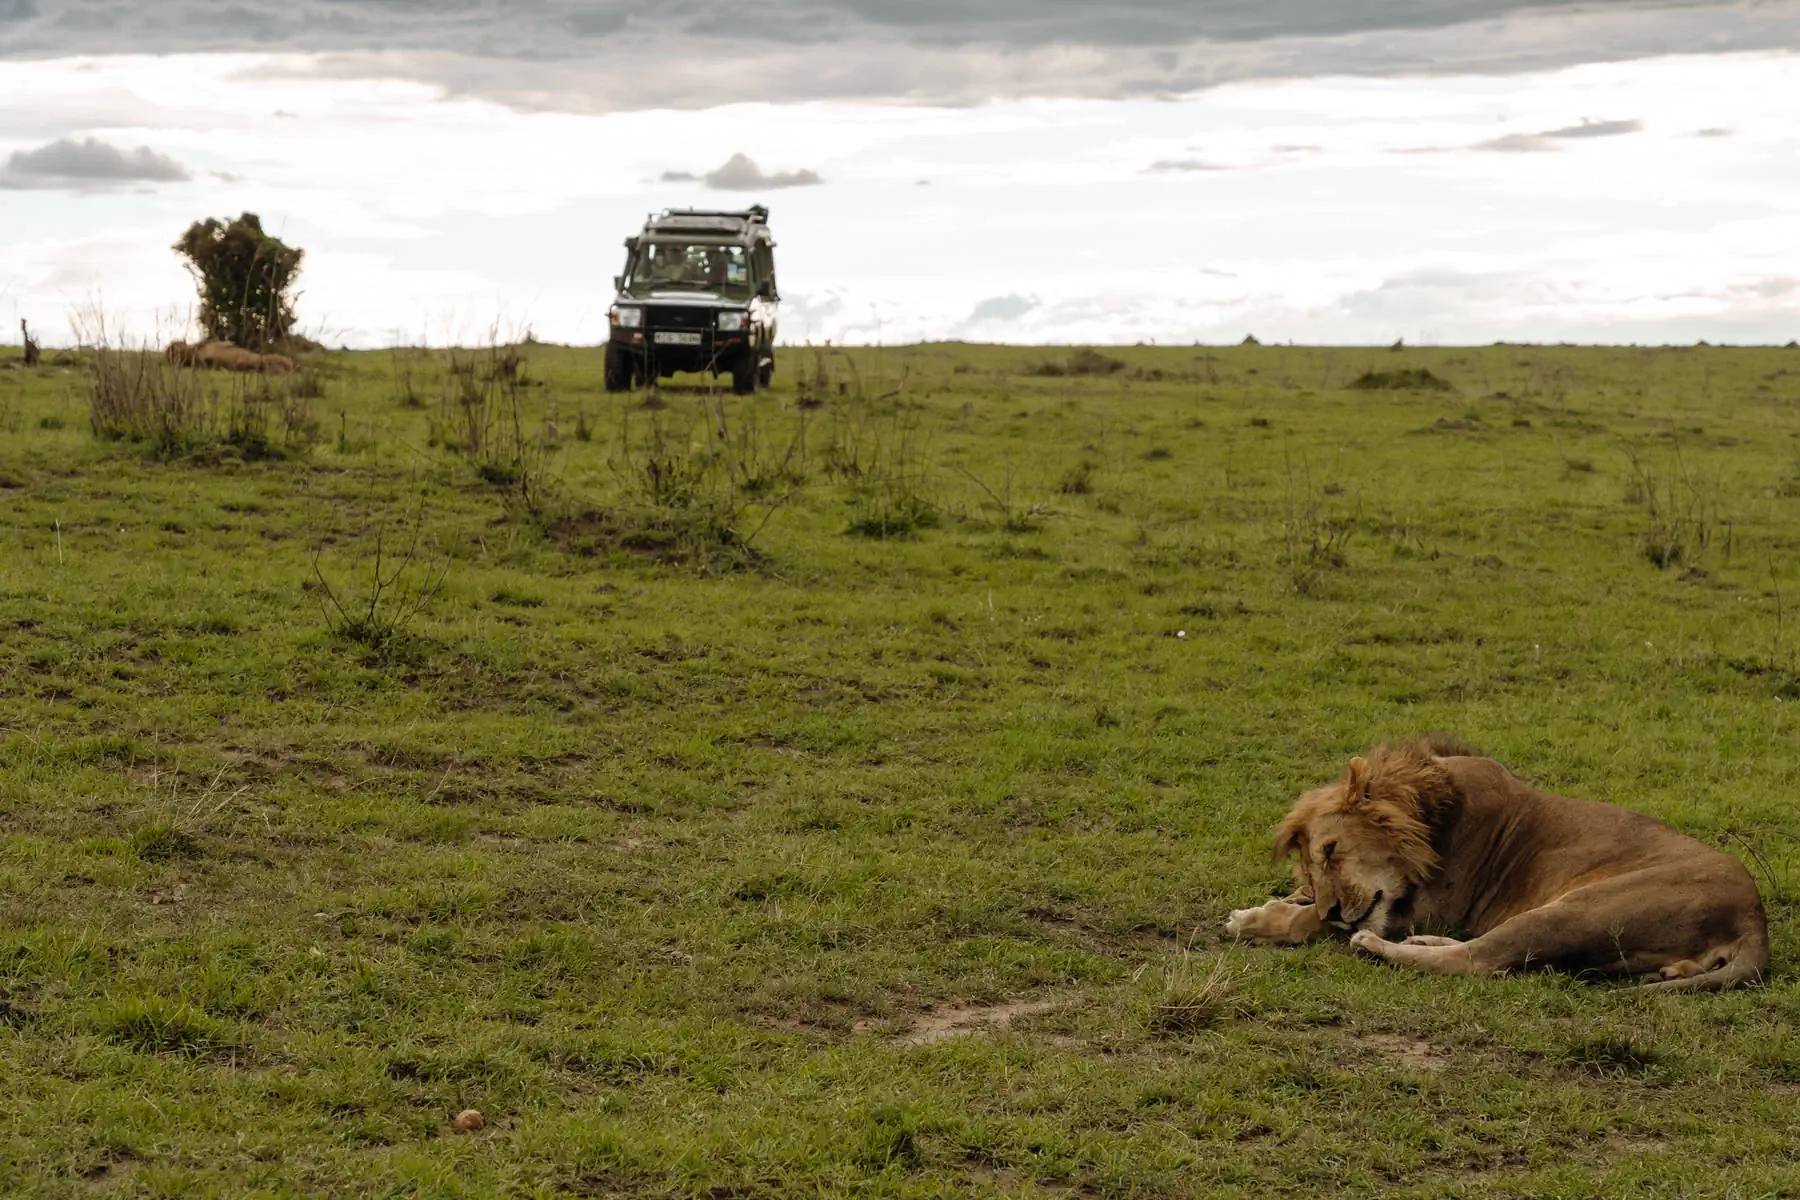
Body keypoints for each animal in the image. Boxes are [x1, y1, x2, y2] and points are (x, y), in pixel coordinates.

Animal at [1224, 741, 1771, 993]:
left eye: (1332, 851)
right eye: (1312, 868)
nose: (1337, 910)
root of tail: (1755, 917)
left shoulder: (1432, 905)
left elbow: (1312, 921)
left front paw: (1260, 921)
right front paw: (1279, 905)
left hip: (1580, 909)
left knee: (1477, 960)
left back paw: (1377, 947)